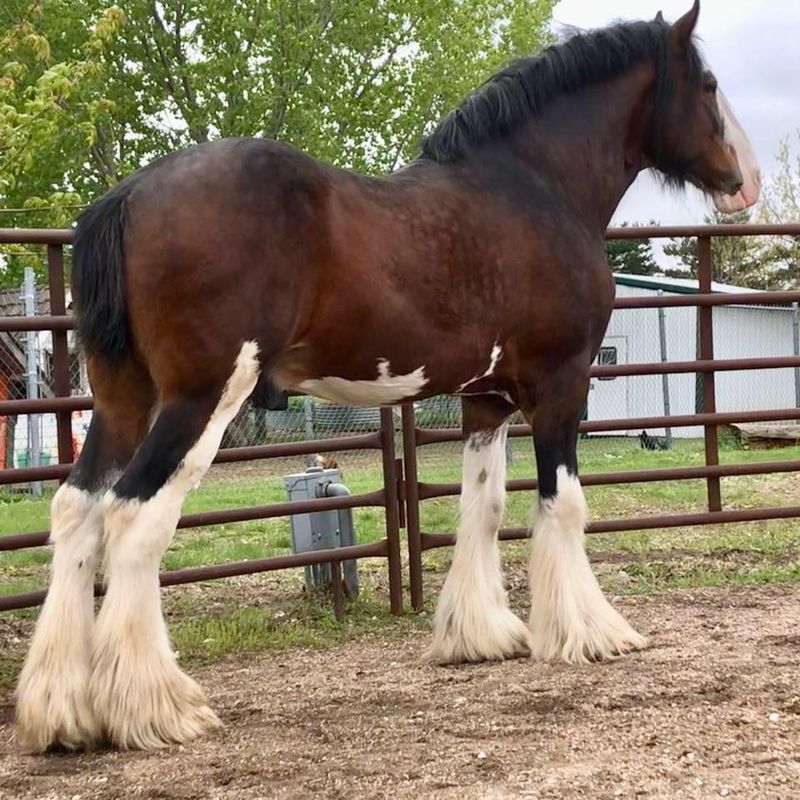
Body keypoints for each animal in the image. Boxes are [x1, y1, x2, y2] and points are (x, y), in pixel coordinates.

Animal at [15, 0, 760, 752]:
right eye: (706, 84)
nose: (745, 182)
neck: (530, 188)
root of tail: (129, 196)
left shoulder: (487, 399)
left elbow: (482, 507)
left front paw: (479, 635)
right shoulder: (560, 384)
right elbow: (563, 503)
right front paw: (590, 632)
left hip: (122, 399)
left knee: (77, 510)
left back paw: (61, 710)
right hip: (201, 399)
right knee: (134, 516)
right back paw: (157, 706)